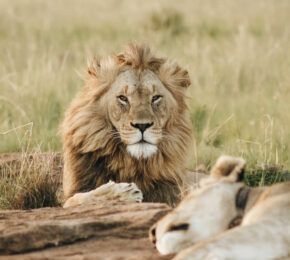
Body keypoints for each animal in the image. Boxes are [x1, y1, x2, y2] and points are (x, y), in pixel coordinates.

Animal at [61, 43, 204, 208]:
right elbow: (77, 198)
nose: (142, 126)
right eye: (123, 98)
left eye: (155, 98)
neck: (132, 164)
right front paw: (124, 192)